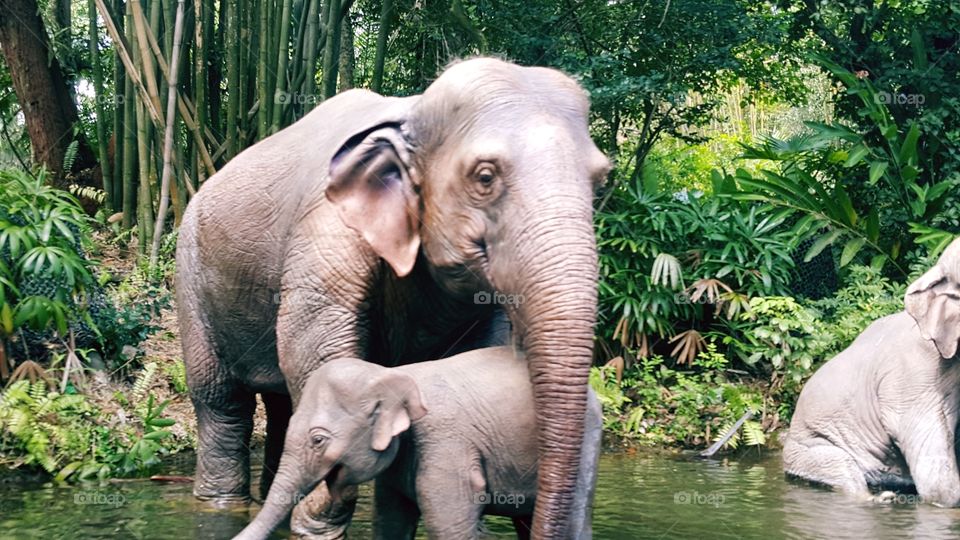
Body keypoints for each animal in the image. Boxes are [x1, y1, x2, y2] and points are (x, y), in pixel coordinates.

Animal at [234, 346, 600, 540]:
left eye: (318, 439)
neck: (389, 373)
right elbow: (391, 520)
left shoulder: (445, 444)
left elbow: (450, 524)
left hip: (585, 443)